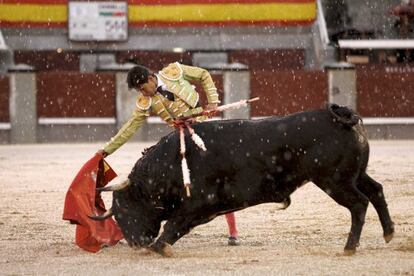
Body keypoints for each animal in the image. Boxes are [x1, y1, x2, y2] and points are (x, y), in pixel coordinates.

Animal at [93, 104, 394, 256]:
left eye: (124, 209)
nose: (135, 243)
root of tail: (340, 114)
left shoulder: (198, 204)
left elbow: (173, 225)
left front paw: (158, 247)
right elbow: (176, 226)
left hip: (334, 181)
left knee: (359, 204)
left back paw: (350, 247)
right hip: (354, 175)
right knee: (376, 191)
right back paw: (388, 233)